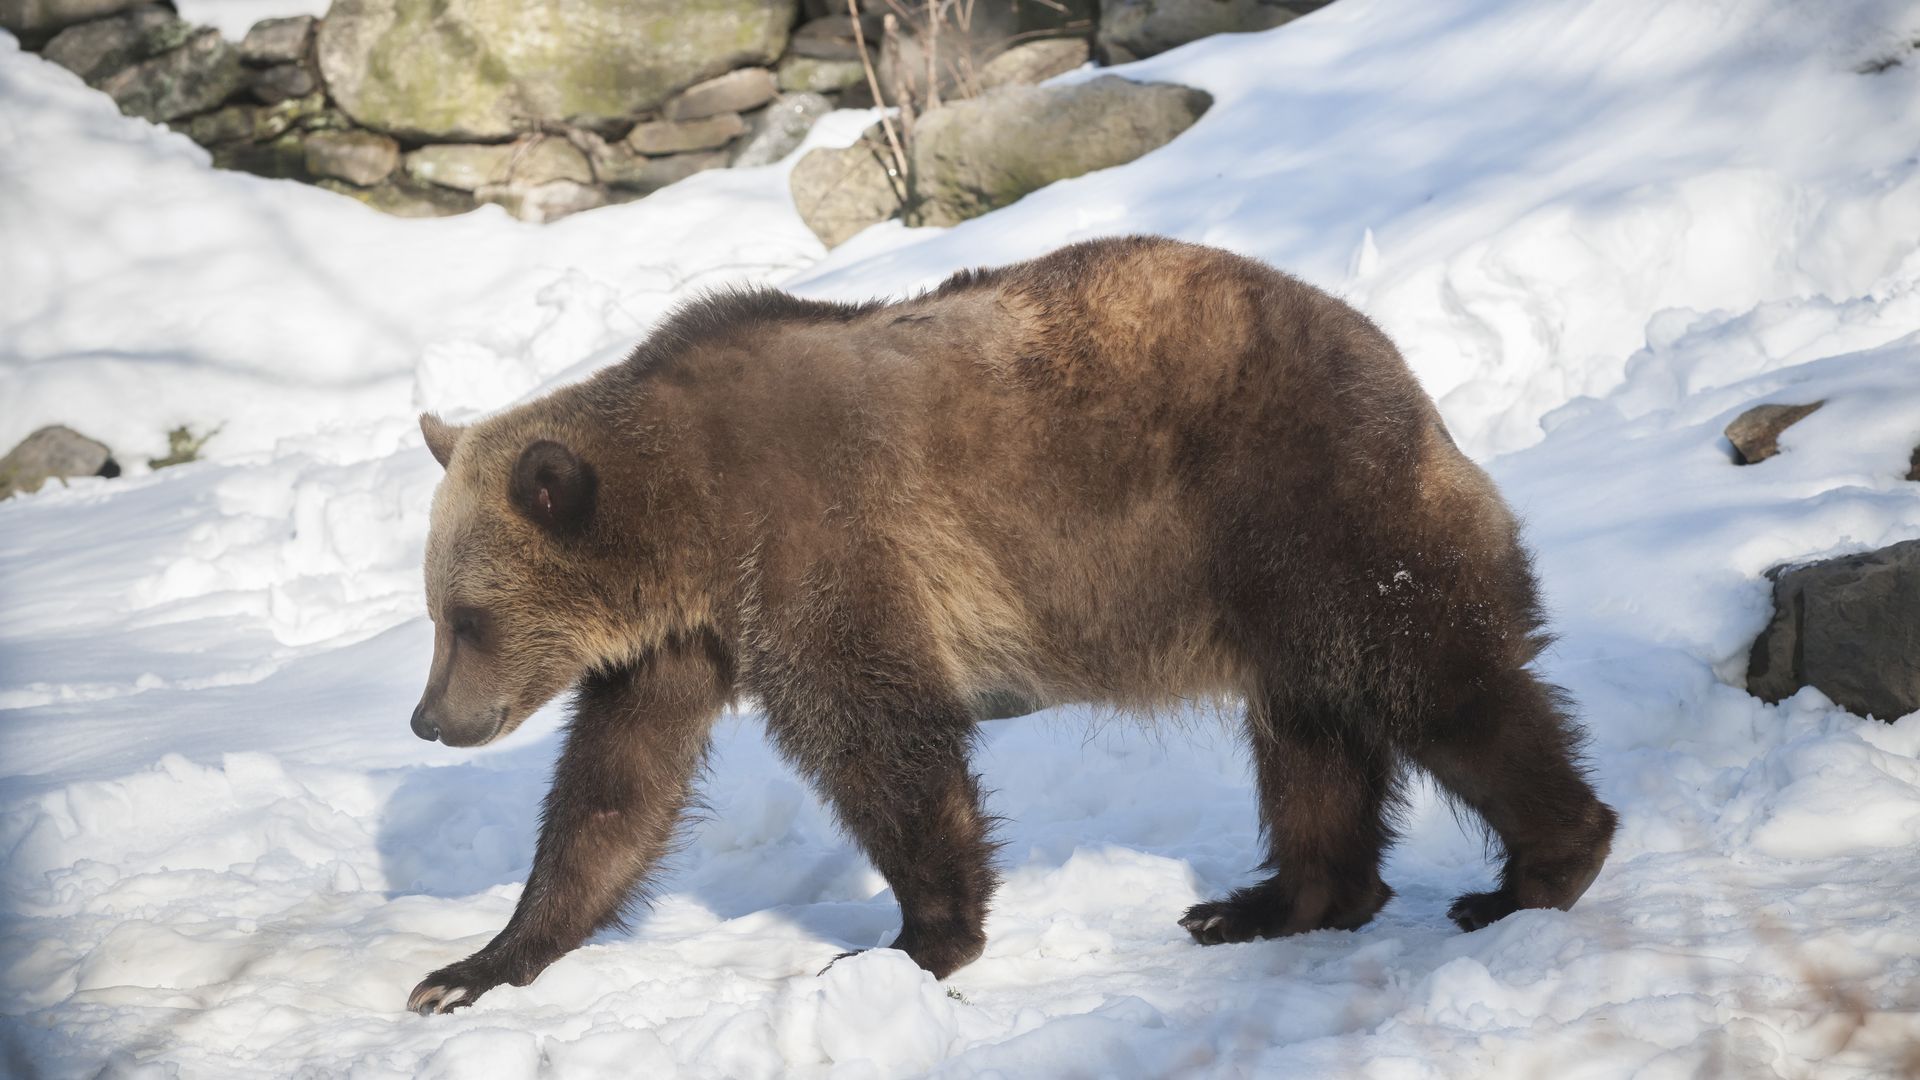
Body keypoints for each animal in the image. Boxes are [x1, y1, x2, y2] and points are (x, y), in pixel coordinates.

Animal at [403, 236, 1618, 1015]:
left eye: (467, 617)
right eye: (434, 613)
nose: (428, 719)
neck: (688, 513)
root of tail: (1390, 359)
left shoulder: (815, 542)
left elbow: (879, 737)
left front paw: (914, 941)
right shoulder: (681, 639)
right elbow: (616, 788)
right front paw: (470, 967)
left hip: (1298, 501)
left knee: (1434, 681)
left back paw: (1535, 872)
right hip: (1275, 585)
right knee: (1311, 740)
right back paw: (1268, 903)